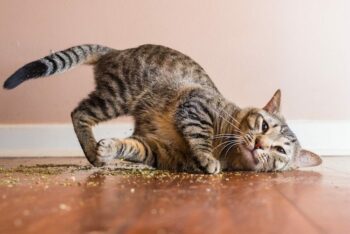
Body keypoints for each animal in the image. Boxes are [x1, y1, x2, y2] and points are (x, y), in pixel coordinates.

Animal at [2, 44, 322, 173]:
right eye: (264, 125)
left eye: (279, 151)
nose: (259, 144)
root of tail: (118, 51)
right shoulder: (195, 104)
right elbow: (201, 136)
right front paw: (208, 158)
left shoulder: (157, 149)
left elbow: (131, 146)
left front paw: (111, 148)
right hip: (118, 96)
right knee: (78, 113)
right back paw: (91, 150)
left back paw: (96, 153)